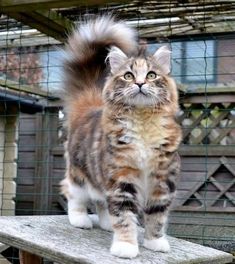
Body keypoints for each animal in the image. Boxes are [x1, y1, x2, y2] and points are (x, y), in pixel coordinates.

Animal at [61, 15, 182, 258]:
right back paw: (79, 219)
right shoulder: (121, 178)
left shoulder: (162, 181)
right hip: (79, 173)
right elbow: (124, 216)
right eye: (128, 76)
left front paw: (155, 242)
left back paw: (107, 224)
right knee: (73, 193)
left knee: (101, 202)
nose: (140, 83)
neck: (143, 123)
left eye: (151, 75)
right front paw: (126, 246)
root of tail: (89, 105)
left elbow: (156, 217)